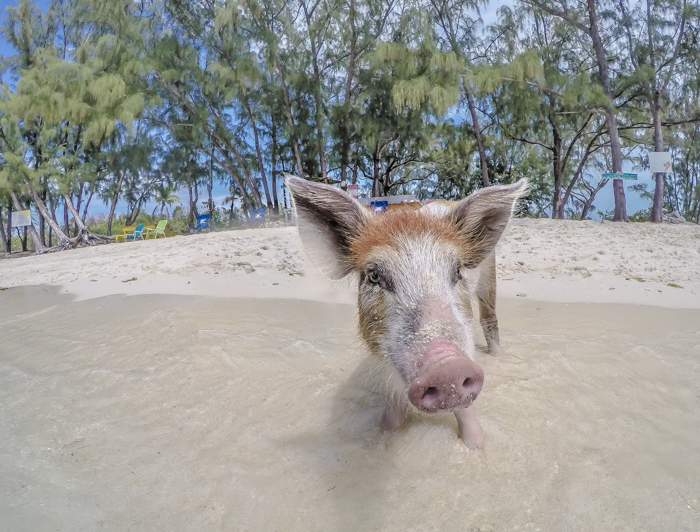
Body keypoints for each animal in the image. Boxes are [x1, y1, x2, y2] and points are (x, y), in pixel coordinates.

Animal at [286, 177, 524, 446]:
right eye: (374, 275)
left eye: (457, 271)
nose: (448, 367)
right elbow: (390, 418)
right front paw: (386, 431)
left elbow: (468, 416)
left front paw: (475, 443)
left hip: (489, 278)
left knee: (490, 318)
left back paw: (498, 356)